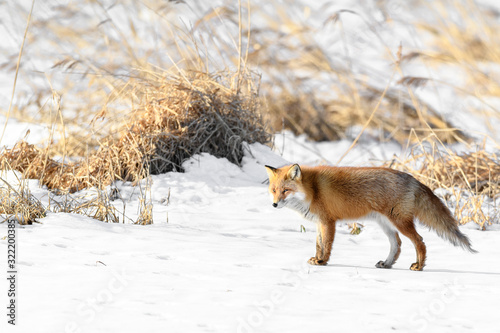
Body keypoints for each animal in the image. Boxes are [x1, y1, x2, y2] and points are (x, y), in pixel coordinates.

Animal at [264, 163, 474, 270]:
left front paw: (323, 262)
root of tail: (412, 179)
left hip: (400, 221)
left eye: (285, 190)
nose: (274, 204)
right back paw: (387, 264)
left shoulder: (328, 221)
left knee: (420, 241)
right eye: (274, 190)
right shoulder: (318, 223)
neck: (313, 190)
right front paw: (316, 259)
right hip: (386, 224)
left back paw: (419, 266)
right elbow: (318, 244)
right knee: (397, 244)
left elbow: (327, 245)